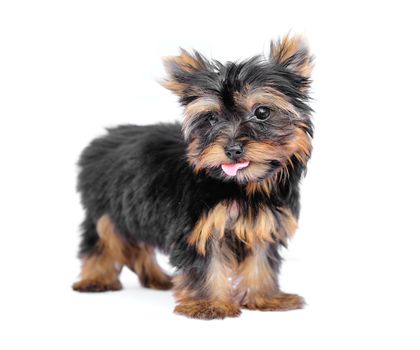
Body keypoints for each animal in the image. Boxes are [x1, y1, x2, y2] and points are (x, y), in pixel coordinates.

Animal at [73, 35, 316, 320]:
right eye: (211, 118)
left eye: (262, 112)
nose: (233, 149)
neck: (241, 186)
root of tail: (102, 140)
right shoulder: (199, 225)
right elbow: (206, 264)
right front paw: (209, 304)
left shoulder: (263, 221)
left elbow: (261, 258)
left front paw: (265, 298)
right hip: (106, 207)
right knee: (101, 238)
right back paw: (95, 279)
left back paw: (156, 278)